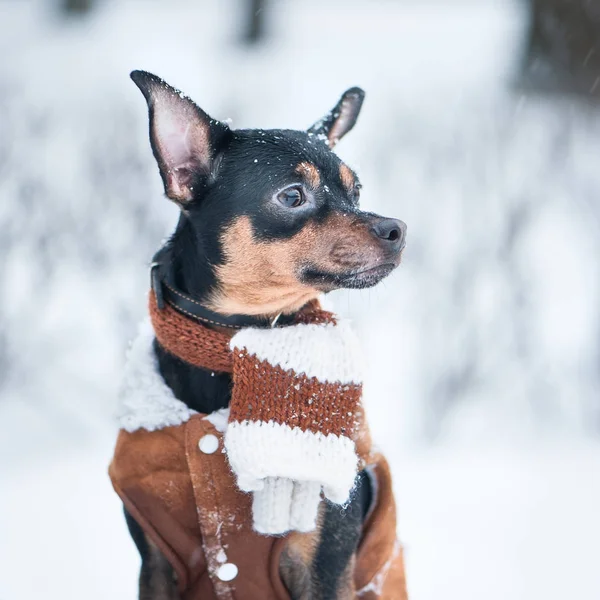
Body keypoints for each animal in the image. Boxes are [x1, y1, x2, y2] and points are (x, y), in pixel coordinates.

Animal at [112, 71, 408, 600]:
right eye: (292, 196)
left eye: (356, 192)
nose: (397, 229)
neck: (230, 346)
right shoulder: (157, 563)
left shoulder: (325, 565)